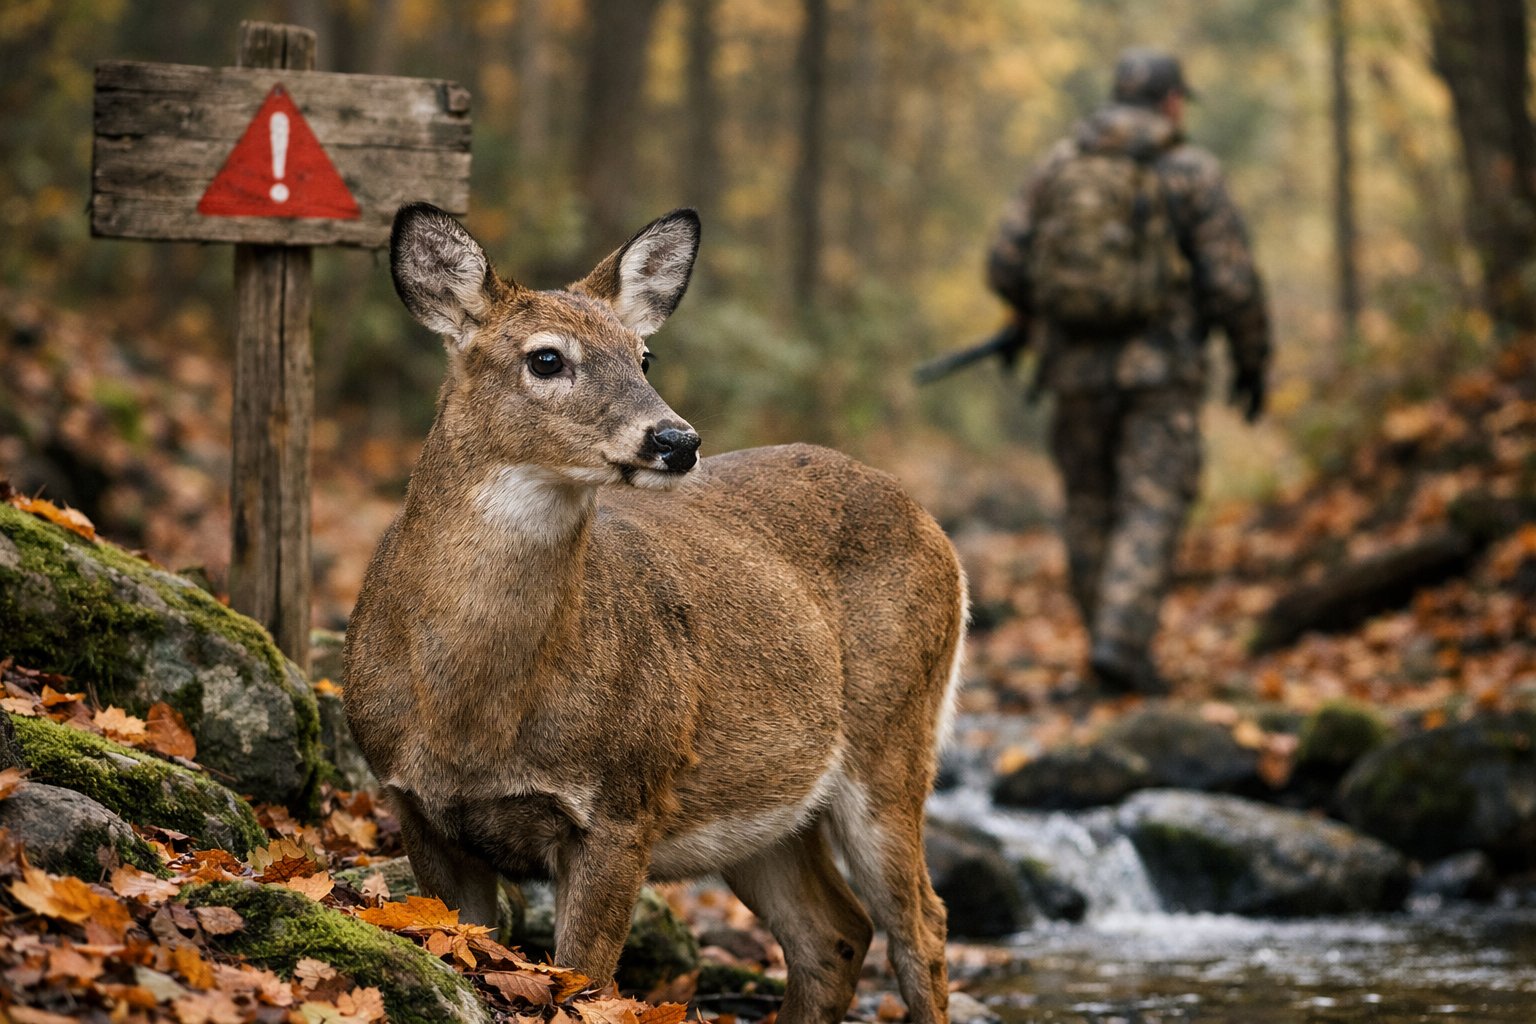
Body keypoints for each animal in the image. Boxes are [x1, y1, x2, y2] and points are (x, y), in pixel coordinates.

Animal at [343, 202, 968, 1024]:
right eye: (547, 359)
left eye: (646, 357)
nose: (677, 439)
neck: (472, 716)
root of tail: (937, 529)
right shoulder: (417, 809)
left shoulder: (622, 803)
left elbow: (581, 986)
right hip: (764, 810)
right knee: (834, 933)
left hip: (894, 737)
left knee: (921, 925)